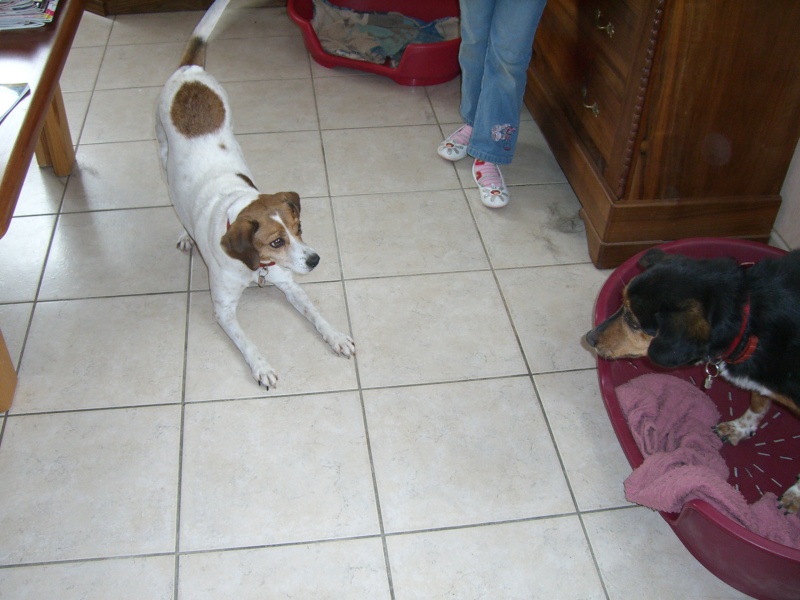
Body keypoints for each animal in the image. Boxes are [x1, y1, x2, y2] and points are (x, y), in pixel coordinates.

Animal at [155, 0, 354, 386]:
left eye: (299, 228)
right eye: (276, 241)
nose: (315, 260)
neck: (255, 267)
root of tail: (189, 68)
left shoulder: (290, 285)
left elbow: (316, 314)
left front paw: (336, 335)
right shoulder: (223, 309)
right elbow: (247, 341)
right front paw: (262, 367)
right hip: (162, 151)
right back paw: (185, 233)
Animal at [584, 248, 800, 516]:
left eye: (634, 322)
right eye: (622, 303)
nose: (589, 338)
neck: (747, 320)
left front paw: (795, 496)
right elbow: (758, 402)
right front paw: (739, 428)